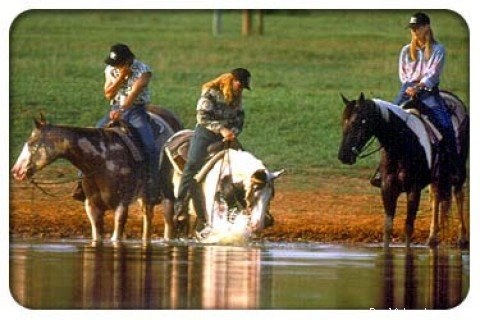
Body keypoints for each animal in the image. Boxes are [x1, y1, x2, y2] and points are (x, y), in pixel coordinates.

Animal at [12, 107, 184, 242]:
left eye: (32, 143)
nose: (16, 171)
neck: (103, 159)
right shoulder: (92, 207)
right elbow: (97, 236)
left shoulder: (121, 205)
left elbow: (116, 236)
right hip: (145, 198)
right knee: (147, 219)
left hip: (168, 195)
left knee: (168, 223)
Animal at [338, 91, 468, 249]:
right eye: (343, 122)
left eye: (360, 122)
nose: (344, 156)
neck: (402, 144)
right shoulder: (387, 188)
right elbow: (388, 226)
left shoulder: (414, 188)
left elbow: (408, 226)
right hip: (437, 178)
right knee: (436, 197)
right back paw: (432, 238)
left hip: (458, 172)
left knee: (459, 195)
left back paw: (462, 238)